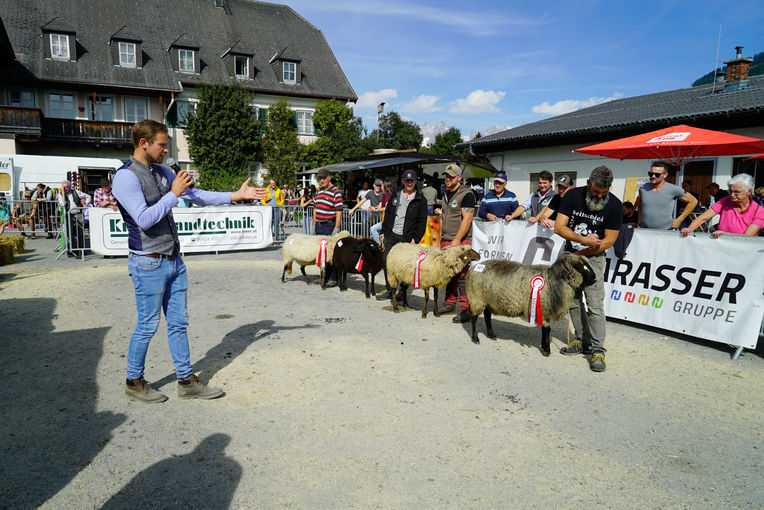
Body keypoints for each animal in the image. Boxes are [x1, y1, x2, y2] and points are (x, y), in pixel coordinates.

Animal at [466, 254, 596, 354]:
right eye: (584, 267)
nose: (595, 279)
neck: (553, 280)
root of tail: (473, 268)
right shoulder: (543, 310)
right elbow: (547, 329)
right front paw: (547, 350)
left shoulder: (544, 311)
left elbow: (545, 329)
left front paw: (544, 346)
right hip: (477, 298)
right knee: (474, 317)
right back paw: (475, 338)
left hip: (489, 300)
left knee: (487, 315)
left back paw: (491, 335)